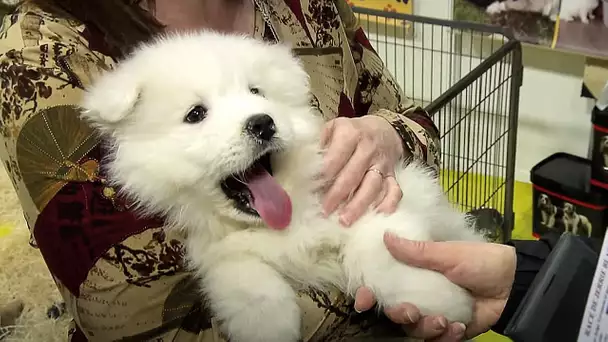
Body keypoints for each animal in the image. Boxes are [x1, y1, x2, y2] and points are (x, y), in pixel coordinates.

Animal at [82, 31, 484, 342]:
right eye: (195, 114)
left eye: (257, 92)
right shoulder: (215, 252)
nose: (262, 123)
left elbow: (381, 252)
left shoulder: (371, 197)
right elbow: (243, 281)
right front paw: (269, 323)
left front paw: (444, 302)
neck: (282, 223)